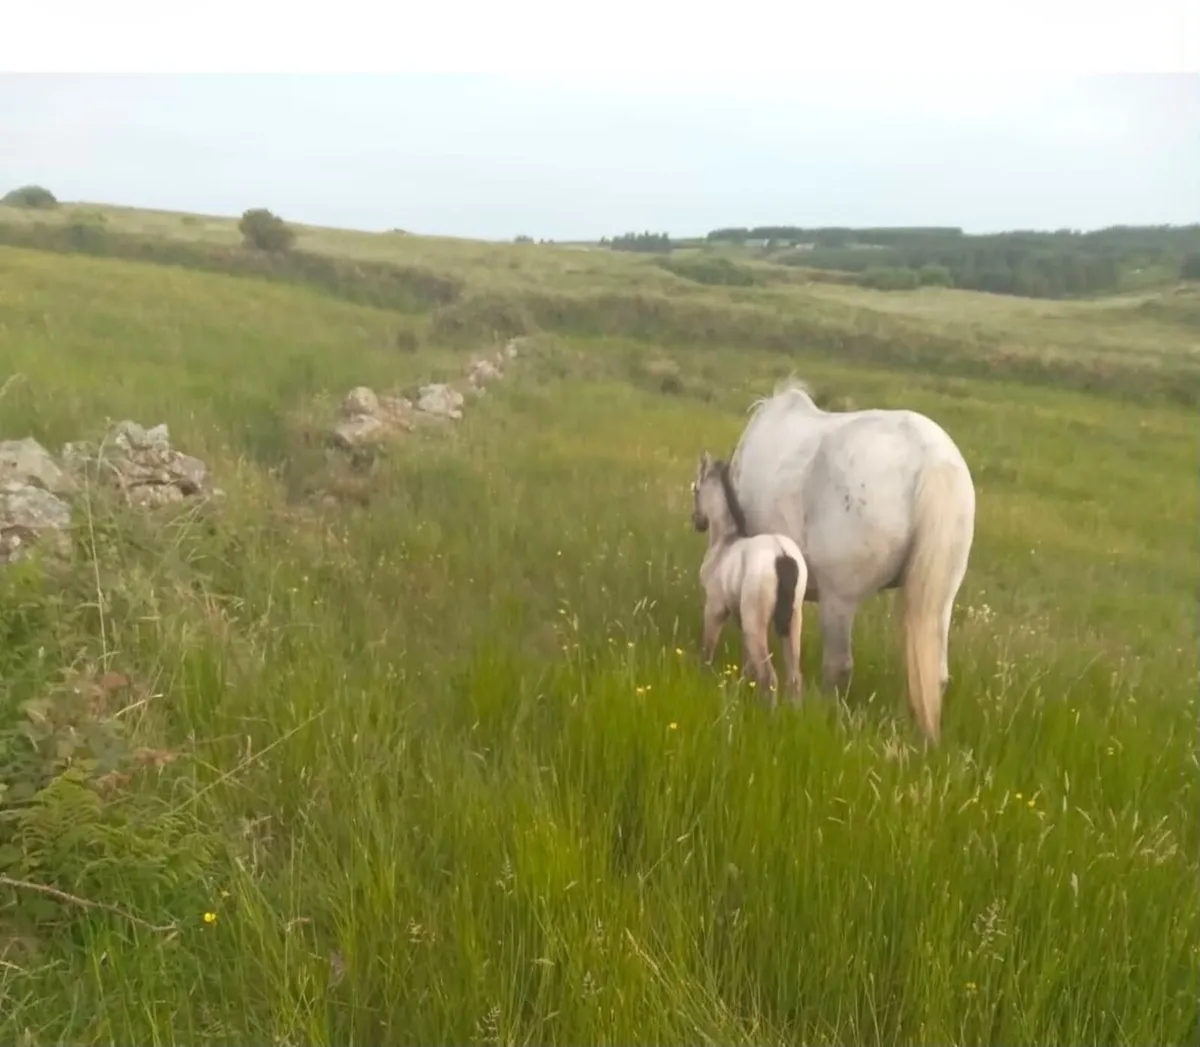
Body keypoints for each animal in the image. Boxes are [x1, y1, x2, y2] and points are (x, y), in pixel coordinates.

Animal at [691, 450, 809, 708]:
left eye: (695, 489)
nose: (697, 521)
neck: (725, 542)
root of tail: (782, 555)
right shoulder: (740, 617)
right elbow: (747, 664)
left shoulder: (715, 608)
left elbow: (708, 649)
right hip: (793, 621)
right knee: (794, 676)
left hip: (757, 622)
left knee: (769, 676)